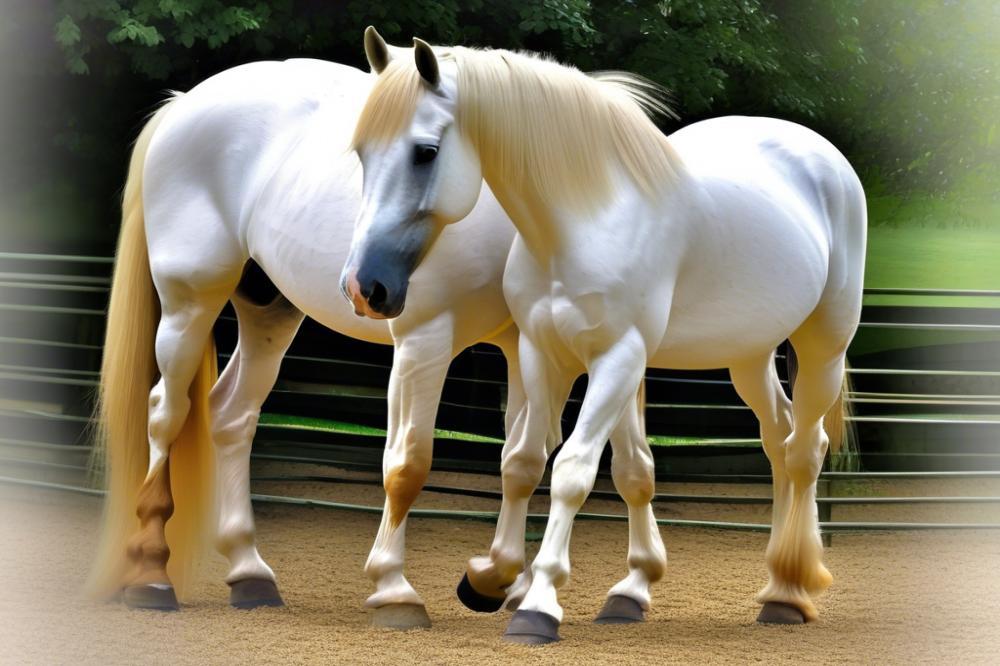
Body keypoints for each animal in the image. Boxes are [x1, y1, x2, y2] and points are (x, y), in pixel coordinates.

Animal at [86, 55, 528, 628]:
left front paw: (505, 587)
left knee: (231, 415)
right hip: (188, 304)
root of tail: (181, 105)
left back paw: (250, 574)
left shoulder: (531, 347)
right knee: (167, 412)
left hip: (269, 311)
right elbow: (409, 463)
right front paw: (396, 591)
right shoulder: (425, 340)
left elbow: (527, 460)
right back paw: (150, 575)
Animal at [346, 28, 868, 640]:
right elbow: (527, 463)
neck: (584, 222)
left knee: (806, 450)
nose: (365, 287)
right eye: (362, 153)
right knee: (779, 441)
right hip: (748, 355)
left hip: (823, 344)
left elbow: (572, 469)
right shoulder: (544, 355)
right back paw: (780, 583)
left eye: (424, 151)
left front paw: (539, 605)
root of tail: (819, 154)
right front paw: (491, 579)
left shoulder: (619, 358)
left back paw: (790, 593)